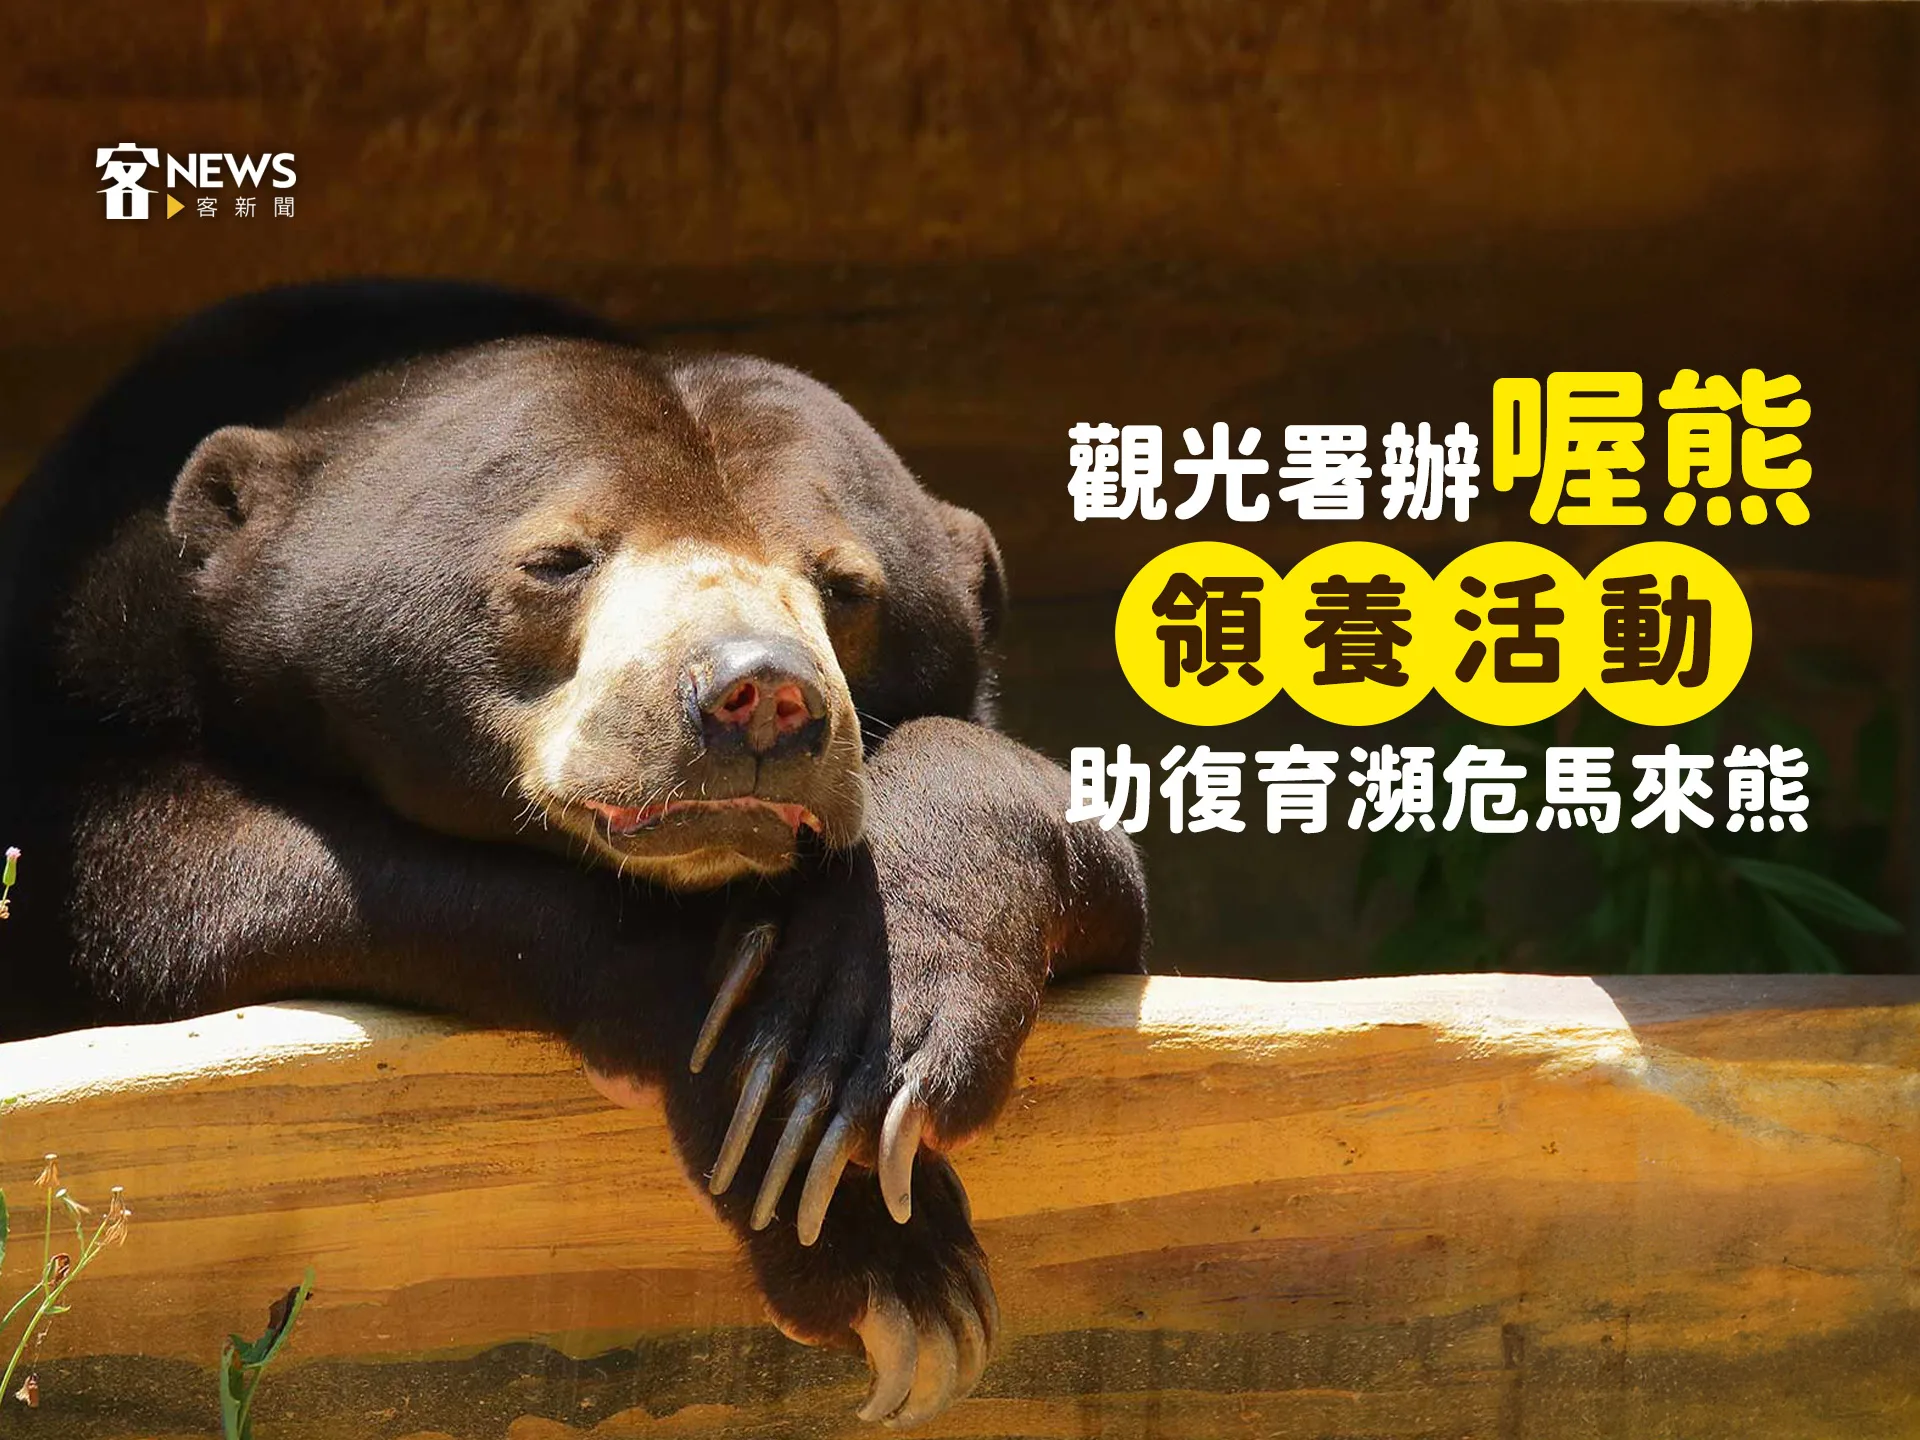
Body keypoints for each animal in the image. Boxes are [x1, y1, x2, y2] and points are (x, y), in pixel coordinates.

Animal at [0, 281, 1146, 1428]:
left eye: (847, 586)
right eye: (559, 559)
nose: (760, 696)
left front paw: (857, 1047)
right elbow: (178, 875)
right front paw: (858, 1217)